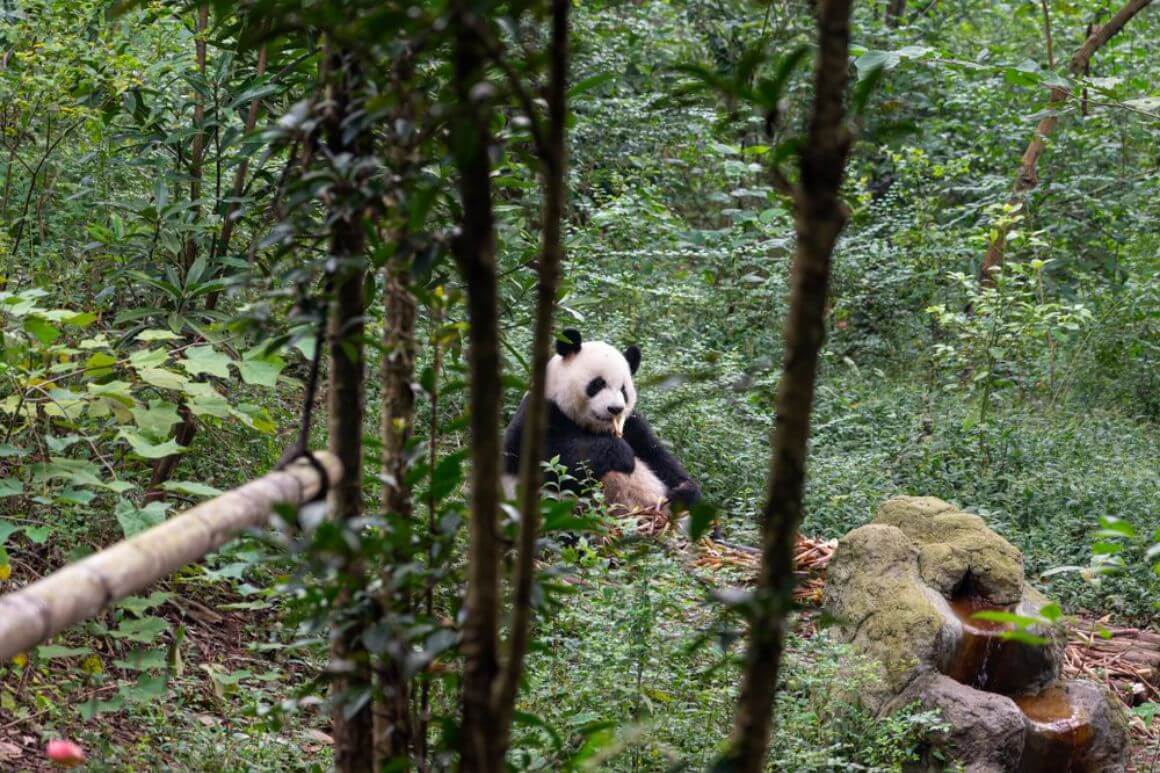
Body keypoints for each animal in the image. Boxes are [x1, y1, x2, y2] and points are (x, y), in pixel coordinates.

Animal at [498, 327, 696, 510]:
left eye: (623, 390)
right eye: (598, 384)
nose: (615, 409)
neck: (593, 427)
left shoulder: (632, 425)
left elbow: (658, 457)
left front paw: (685, 492)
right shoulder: (540, 412)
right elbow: (547, 456)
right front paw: (622, 454)